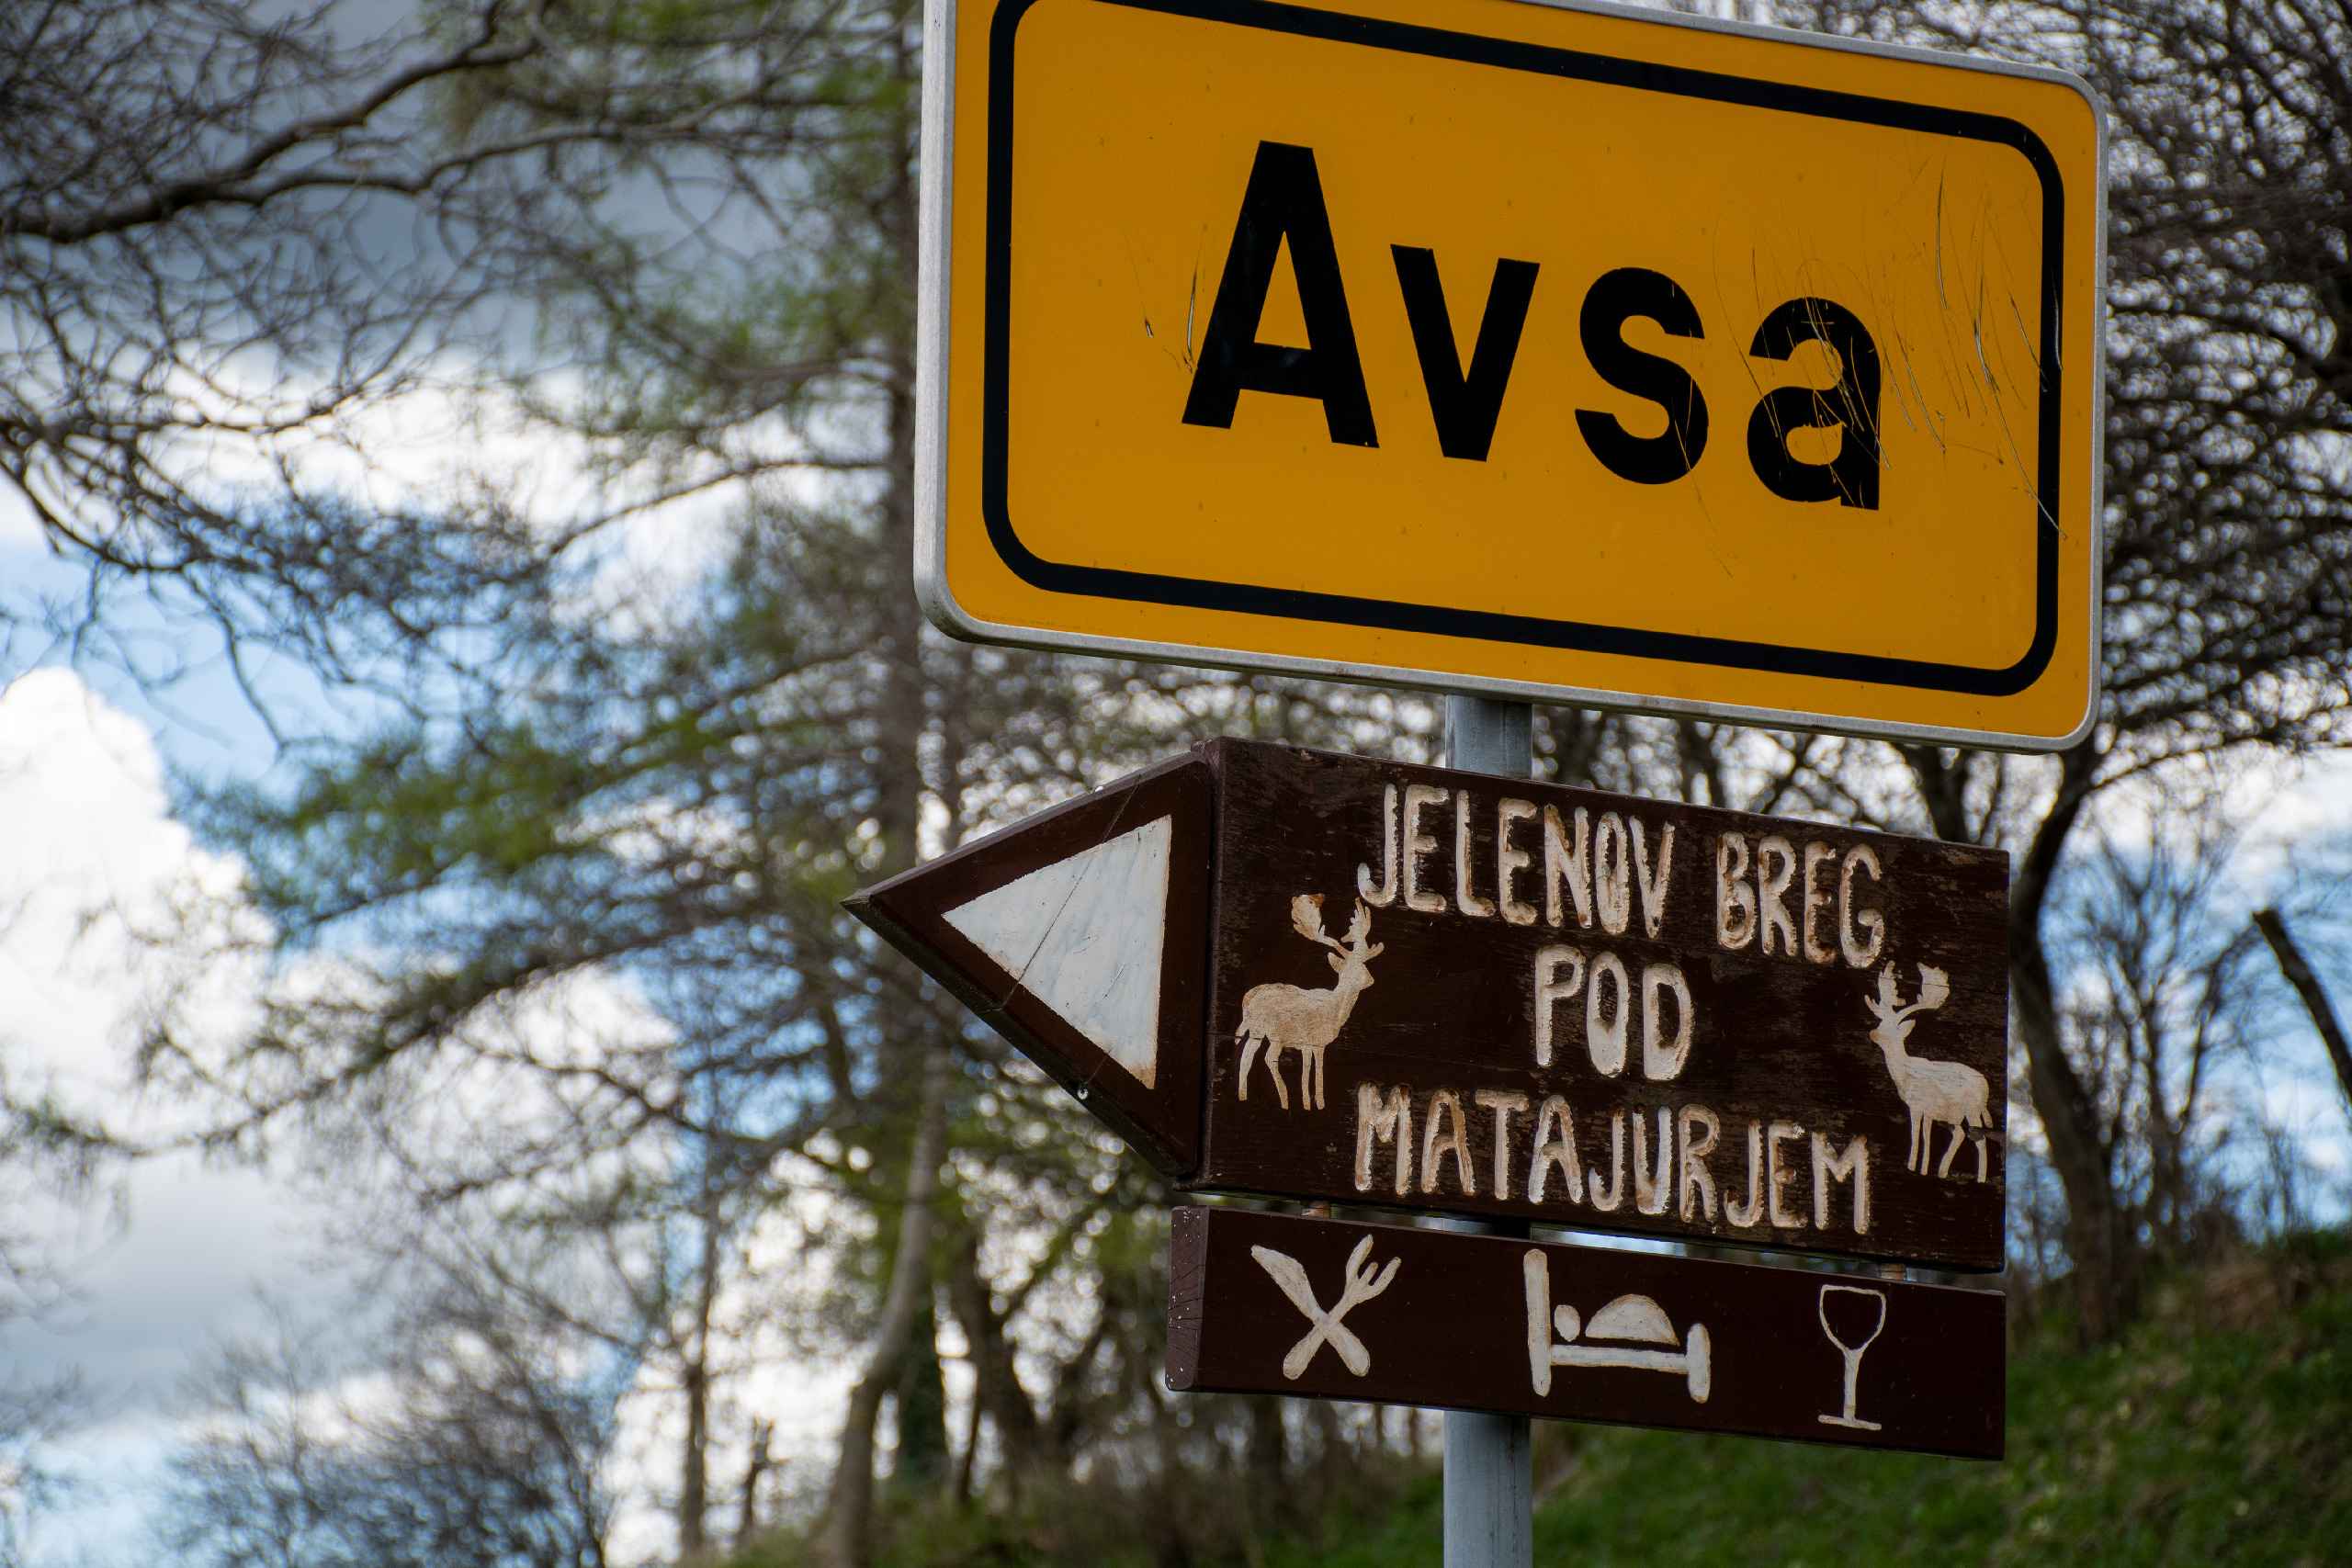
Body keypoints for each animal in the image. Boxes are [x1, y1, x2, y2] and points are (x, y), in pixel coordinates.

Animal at [1235, 895, 1382, 1111]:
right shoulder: (1312, 1040)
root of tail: (1248, 997)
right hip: (1275, 1032)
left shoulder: (1312, 1044)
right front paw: (1312, 1104)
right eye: (1356, 970)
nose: (1370, 980)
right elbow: (1312, 1070)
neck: (1336, 1011)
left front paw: (1313, 1102)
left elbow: (1313, 1069)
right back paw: (1284, 1098)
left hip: (1257, 1029)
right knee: (1268, 1057)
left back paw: (1243, 1095)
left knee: (1246, 1055)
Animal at [1864, 961, 1992, 1178]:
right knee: (1960, 1134)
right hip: (1953, 1114)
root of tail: (1986, 1087)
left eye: (1894, 1029)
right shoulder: (1926, 1109)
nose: (1873, 1033)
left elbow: (1918, 1137)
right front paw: (1921, 1169)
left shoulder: (1920, 1105)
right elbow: (1924, 1137)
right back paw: (1942, 1172)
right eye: (1881, 1023)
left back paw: (1980, 1178)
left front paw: (1913, 1168)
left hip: (1972, 1109)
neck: (1904, 1074)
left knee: (1980, 1141)